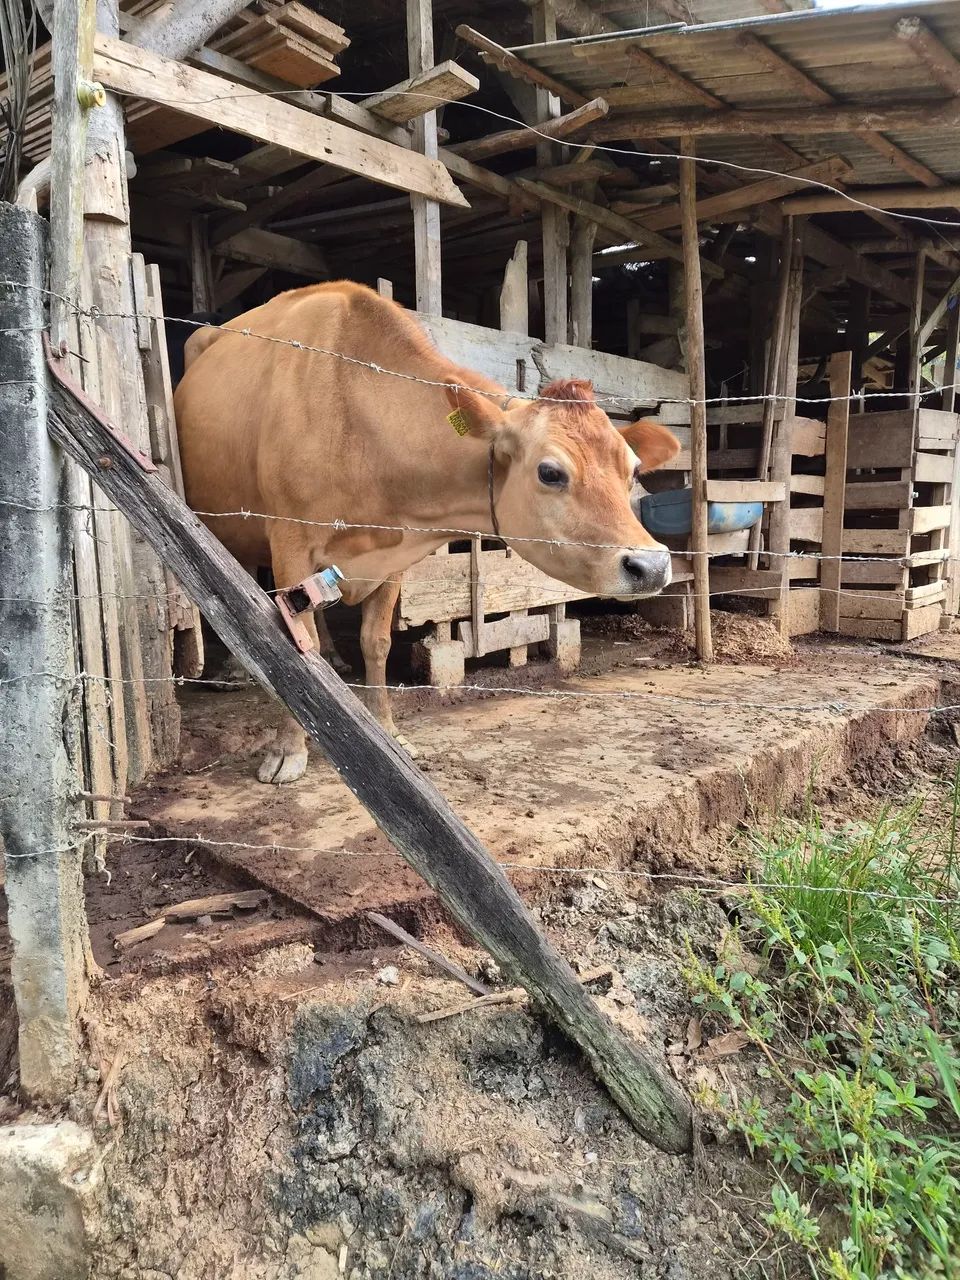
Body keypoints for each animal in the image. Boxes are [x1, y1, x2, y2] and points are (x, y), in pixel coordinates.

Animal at [174, 281, 680, 784]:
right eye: (550, 472)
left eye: (633, 468)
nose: (652, 565)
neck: (356, 423)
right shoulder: (290, 540)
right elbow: (295, 643)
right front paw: (288, 749)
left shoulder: (393, 552)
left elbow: (375, 642)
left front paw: (387, 730)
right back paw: (236, 669)